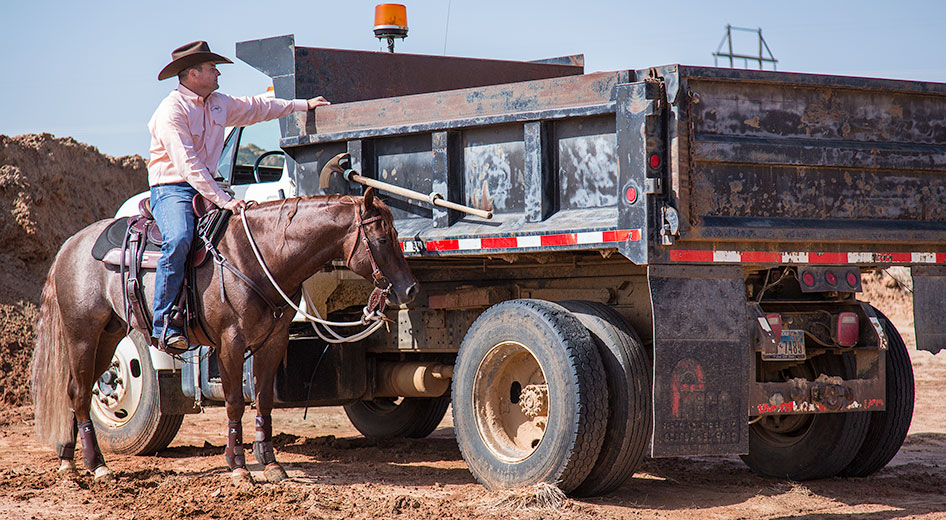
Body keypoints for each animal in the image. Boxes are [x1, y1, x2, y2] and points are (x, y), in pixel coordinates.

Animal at [31, 189, 414, 486]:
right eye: (382, 239)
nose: (410, 289)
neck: (258, 259)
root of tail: (71, 244)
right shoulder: (231, 343)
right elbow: (234, 403)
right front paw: (239, 467)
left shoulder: (273, 343)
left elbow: (264, 400)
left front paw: (271, 464)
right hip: (83, 333)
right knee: (82, 391)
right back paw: (97, 466)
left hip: (109, 333)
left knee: (72, 390)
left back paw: (68, 460)